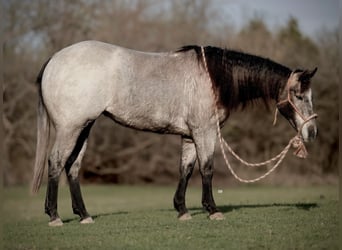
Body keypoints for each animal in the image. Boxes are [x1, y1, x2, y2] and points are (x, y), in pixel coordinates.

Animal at [31, 40, 318, 226]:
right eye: (299, 95)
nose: (312, 131)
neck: (213, 78)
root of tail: (54, 60)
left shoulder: (190, 135)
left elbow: (186, 169)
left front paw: (182, 210)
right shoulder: (204, 131)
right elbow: (207, 168)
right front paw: (212, 210)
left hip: (85, 127)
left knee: (72, 167)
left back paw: (84, 215)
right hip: (70, 128)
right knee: (56, 162)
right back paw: (54, 216)